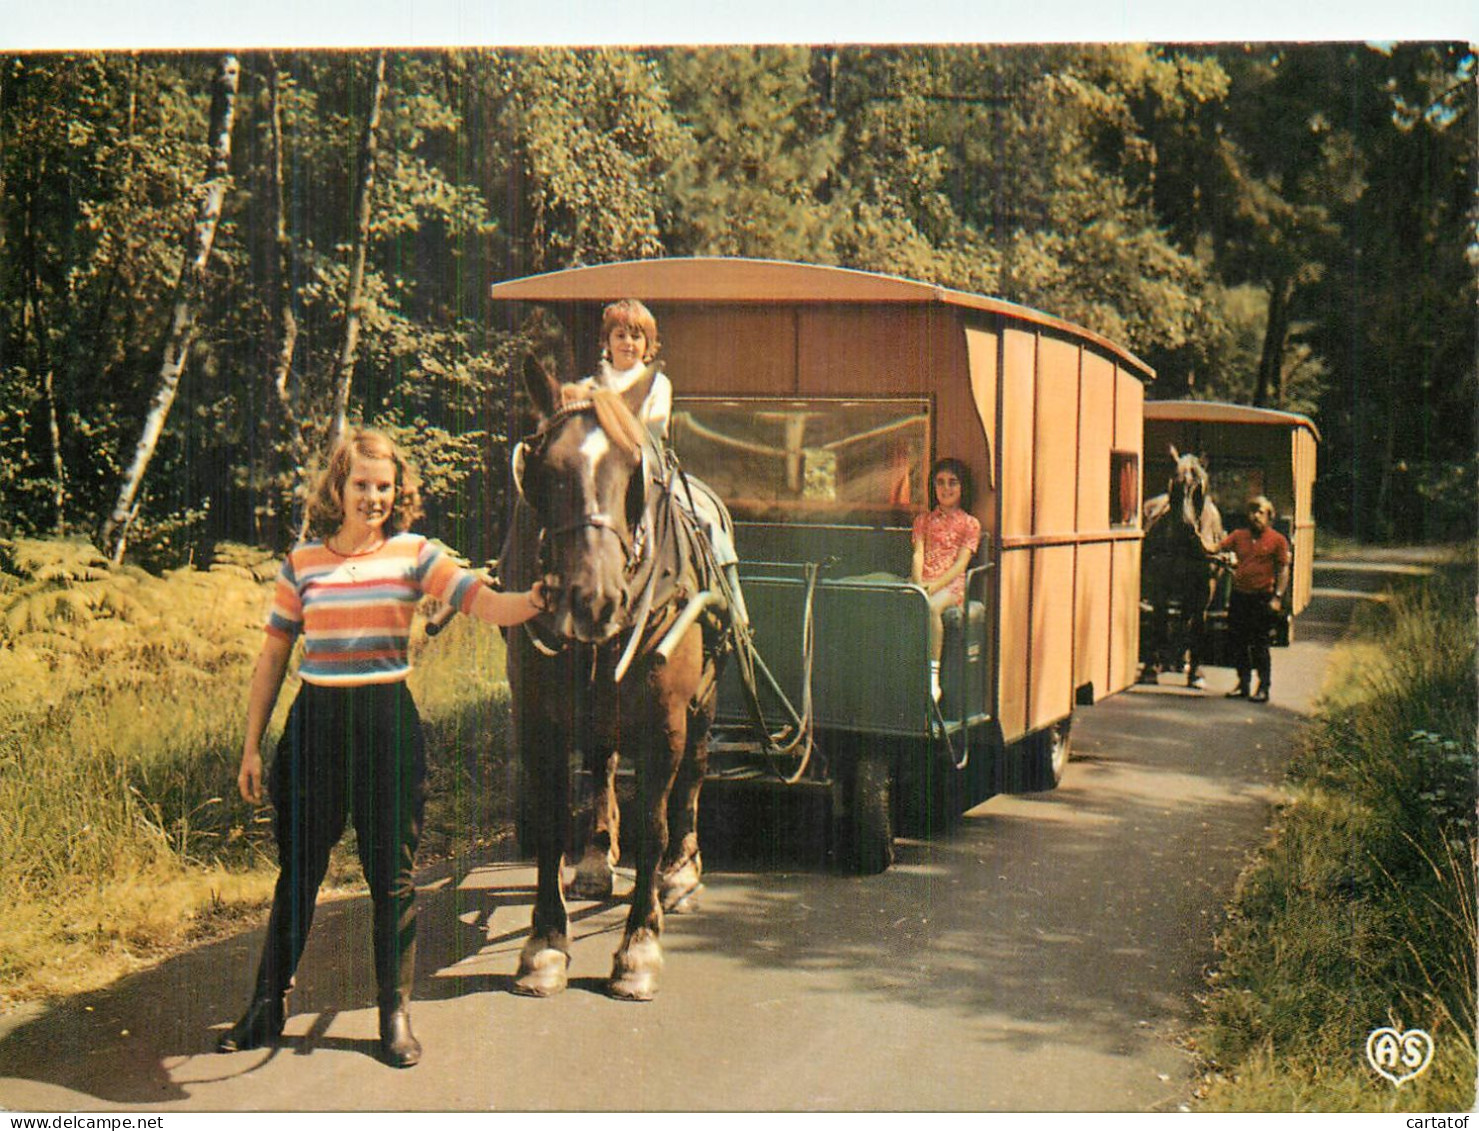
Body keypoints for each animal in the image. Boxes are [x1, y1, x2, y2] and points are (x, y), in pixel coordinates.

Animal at [499, 354, 730, 999]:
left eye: (634, 472)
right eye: (546, 470)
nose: (595, 600)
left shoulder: (664, 721)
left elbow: (654, 822)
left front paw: (639, 946)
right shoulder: (538, 718)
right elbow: (551, 820)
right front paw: (545, 944)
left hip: (703, 702)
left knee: (693, 778)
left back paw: (682, 873)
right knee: (601, 765)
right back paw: (595, 862)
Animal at [1141, 449, 1224, 688]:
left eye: (1200, 488)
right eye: (1174, 485)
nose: (1186, 527)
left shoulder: (1204, 588)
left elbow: (1196, 624)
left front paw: (1195, 673)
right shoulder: (1159, 585)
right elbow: (1159, 621)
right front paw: (1150, 670)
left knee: (1185, 619)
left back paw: (1180, 661)